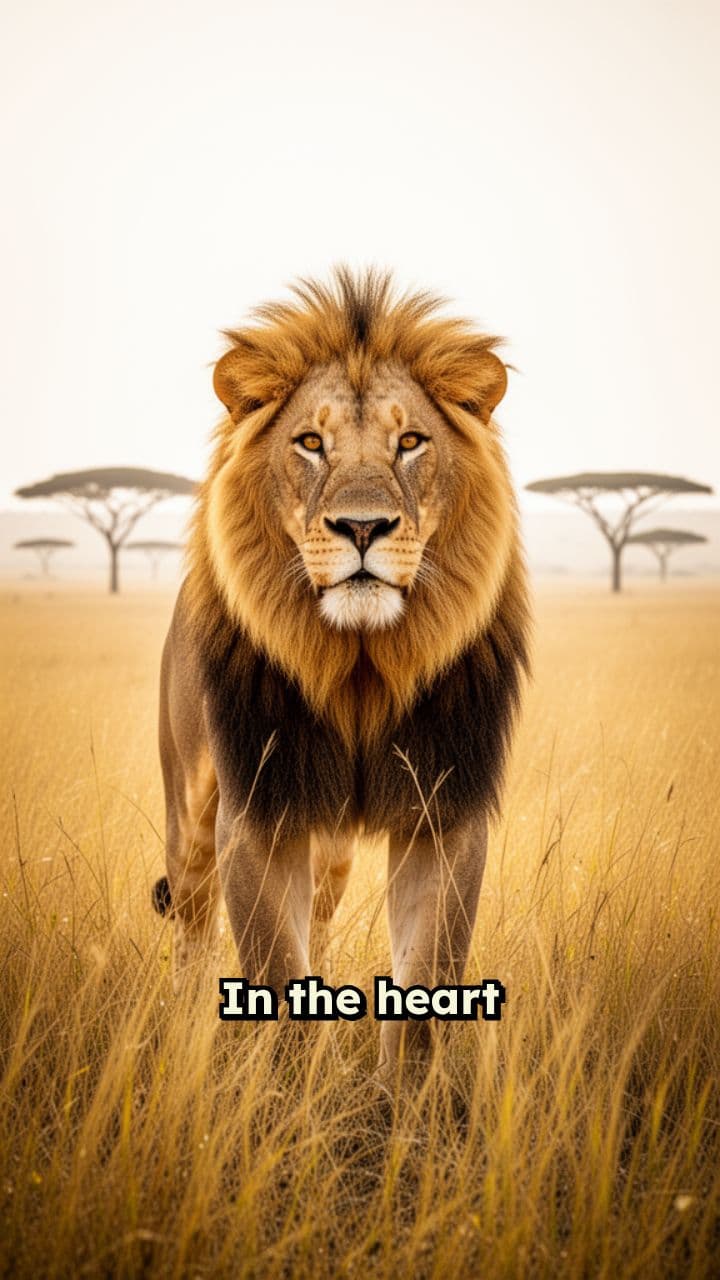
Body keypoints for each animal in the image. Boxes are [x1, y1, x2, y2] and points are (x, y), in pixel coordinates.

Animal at [152, 267, 530, 1076]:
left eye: (410, 442)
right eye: (311, 443)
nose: (362, 527)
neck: (360, 666)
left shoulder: (441, 813)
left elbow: (425, 987)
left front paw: (404, 1108)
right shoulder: (258, 814)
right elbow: (275, 972)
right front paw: (290, 1100)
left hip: (329, 852)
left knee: (320, 919)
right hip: (190, 815)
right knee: (193, 927)